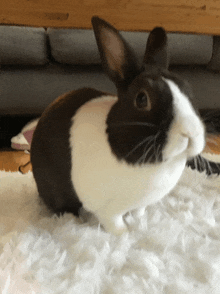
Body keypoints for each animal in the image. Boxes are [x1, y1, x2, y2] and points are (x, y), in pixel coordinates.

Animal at [31, 16, 206, 237]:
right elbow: (114, 222)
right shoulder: (107, 210)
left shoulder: (141, 203)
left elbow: (139, 211)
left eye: (188, 89)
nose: (191, 133)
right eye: (142, 99)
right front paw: (125, 234)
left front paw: (140, 222)